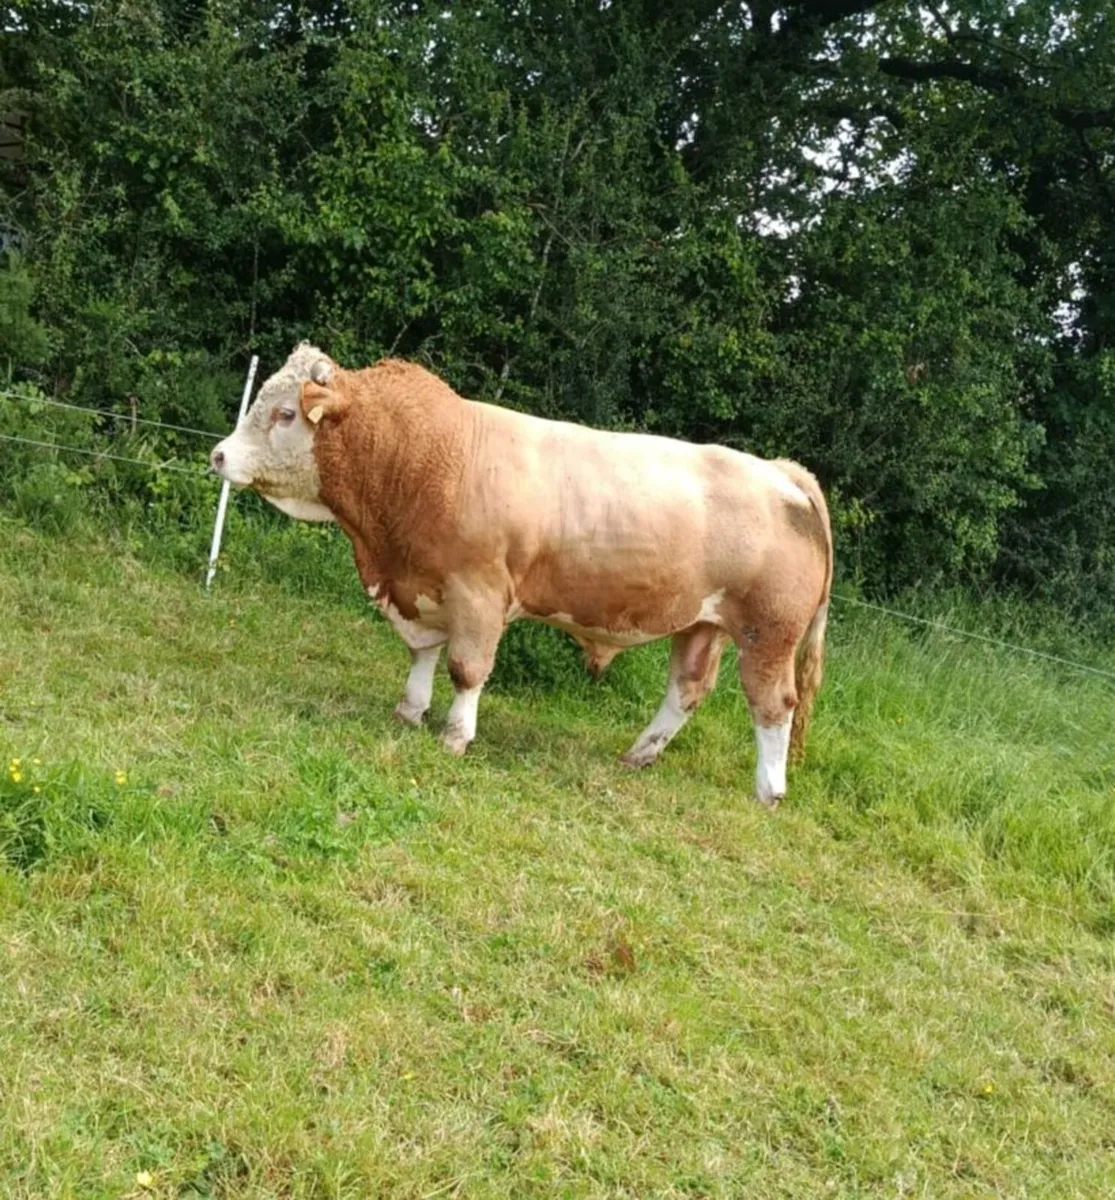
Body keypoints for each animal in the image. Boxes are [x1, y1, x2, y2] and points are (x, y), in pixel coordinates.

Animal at [211, 343, 832, 807]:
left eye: (285, 414)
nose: (218, 455)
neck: (424, 456)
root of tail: (781, 471)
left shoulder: (478, 592)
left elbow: (466, 668)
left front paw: (456, 735)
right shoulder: (421, 587)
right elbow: (423, 654)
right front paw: (410, 710)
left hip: (768, 632)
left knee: (774, 703)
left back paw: (769, 790)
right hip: (703, 624)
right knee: (687, 691)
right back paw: (640, 753)